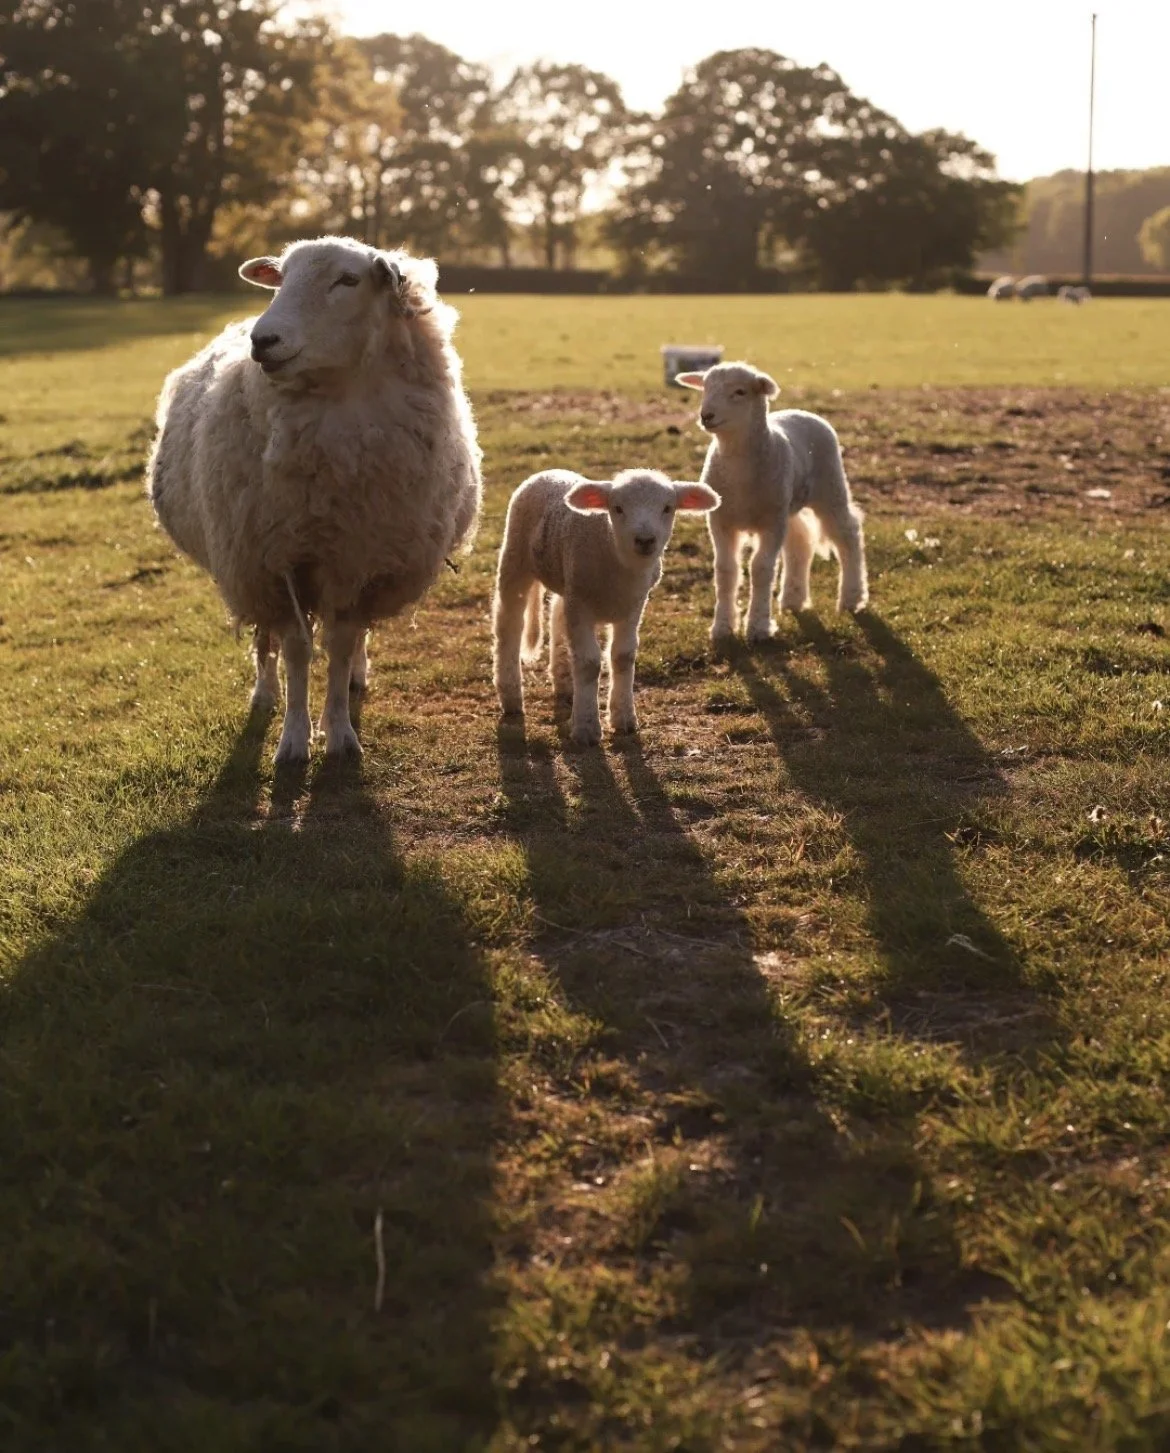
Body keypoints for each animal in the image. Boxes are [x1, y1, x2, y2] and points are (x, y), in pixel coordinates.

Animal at [145, 235, 481, 764]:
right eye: (280, 279)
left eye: (348, 280)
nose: (262, 340)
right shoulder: (276, 559)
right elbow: (296, 649)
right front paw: (294, 738)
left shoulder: (360, 556)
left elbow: (342, 644)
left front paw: (340, 733)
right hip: (246, 562)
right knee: (264, 635)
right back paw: (265, 692)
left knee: (355, 634)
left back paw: (356, 678)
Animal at [493, 469, 720, 746]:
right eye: (617, 508)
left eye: (668, 508)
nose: (645, 540)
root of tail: (550, 472)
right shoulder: (580, 605)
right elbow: (589, 663)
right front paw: (586, 728)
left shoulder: (632, 606)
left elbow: (623, 656)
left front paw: (624, 719)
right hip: (515, 558)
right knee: (508, 624)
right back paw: (511, 696)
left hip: (566, 581)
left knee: (557, 614)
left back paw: (564, 682)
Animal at [675, 362, 868, 645]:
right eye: (705, 388)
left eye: (740, 392)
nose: (706, 415)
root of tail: (801, 411)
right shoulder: (721, 521)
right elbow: (725, 571)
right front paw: (722, 627)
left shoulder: (771, 522)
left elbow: (761, 568)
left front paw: (758, 626)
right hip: (788, 503)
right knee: (800, 540)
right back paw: (793, 598)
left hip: (830, 486)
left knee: (847, 533)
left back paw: (852, 598)